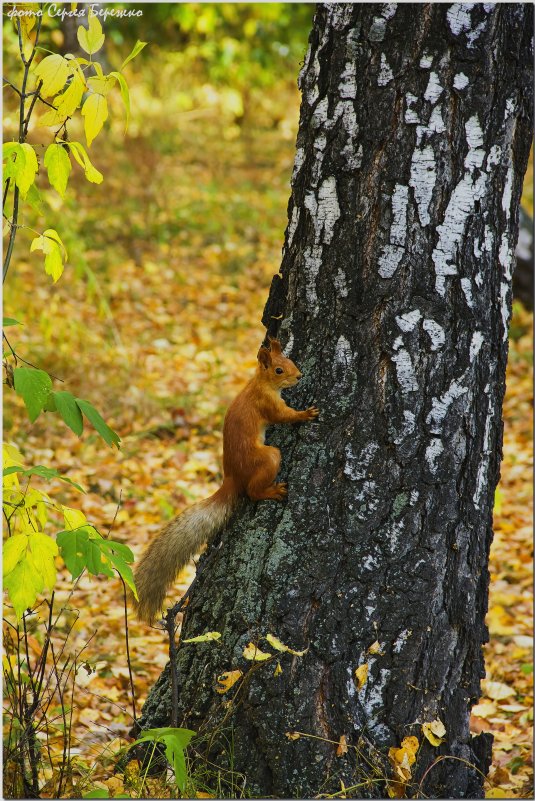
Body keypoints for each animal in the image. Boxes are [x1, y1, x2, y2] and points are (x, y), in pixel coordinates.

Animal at [134, 334, 318, 620]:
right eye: (279, 370)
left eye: (290, 360)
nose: (299, 376)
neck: (259, 384)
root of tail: (232, 479)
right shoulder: (267, 405)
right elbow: (283, 416)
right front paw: (305, 414)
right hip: (267, 458)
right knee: (253, 491)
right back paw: (272, 491)